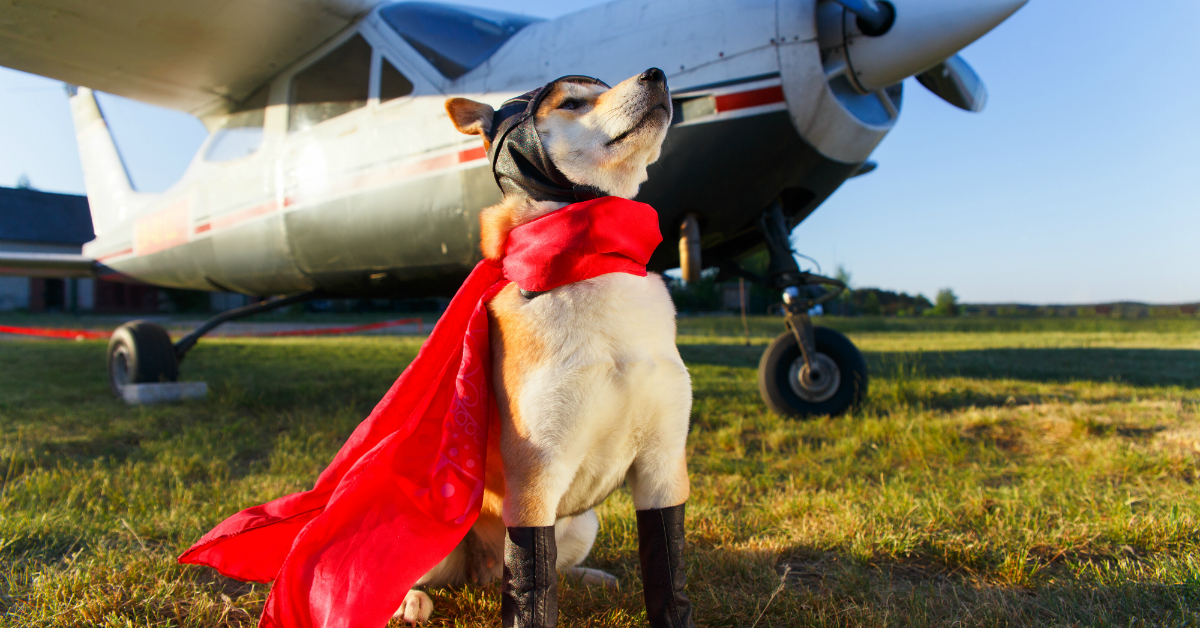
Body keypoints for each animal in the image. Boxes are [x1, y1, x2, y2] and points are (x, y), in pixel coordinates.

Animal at [393, 67, 696, 624]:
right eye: (573, 102)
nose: (657, 74)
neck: (593, 259)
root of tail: (482, 572)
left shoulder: (664, 464)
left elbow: (669, 568)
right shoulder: (536, 475)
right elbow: (533, 589)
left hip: (582, 522)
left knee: (548, 568)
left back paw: (590, 577)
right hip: (429, 522)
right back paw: (410, 600)